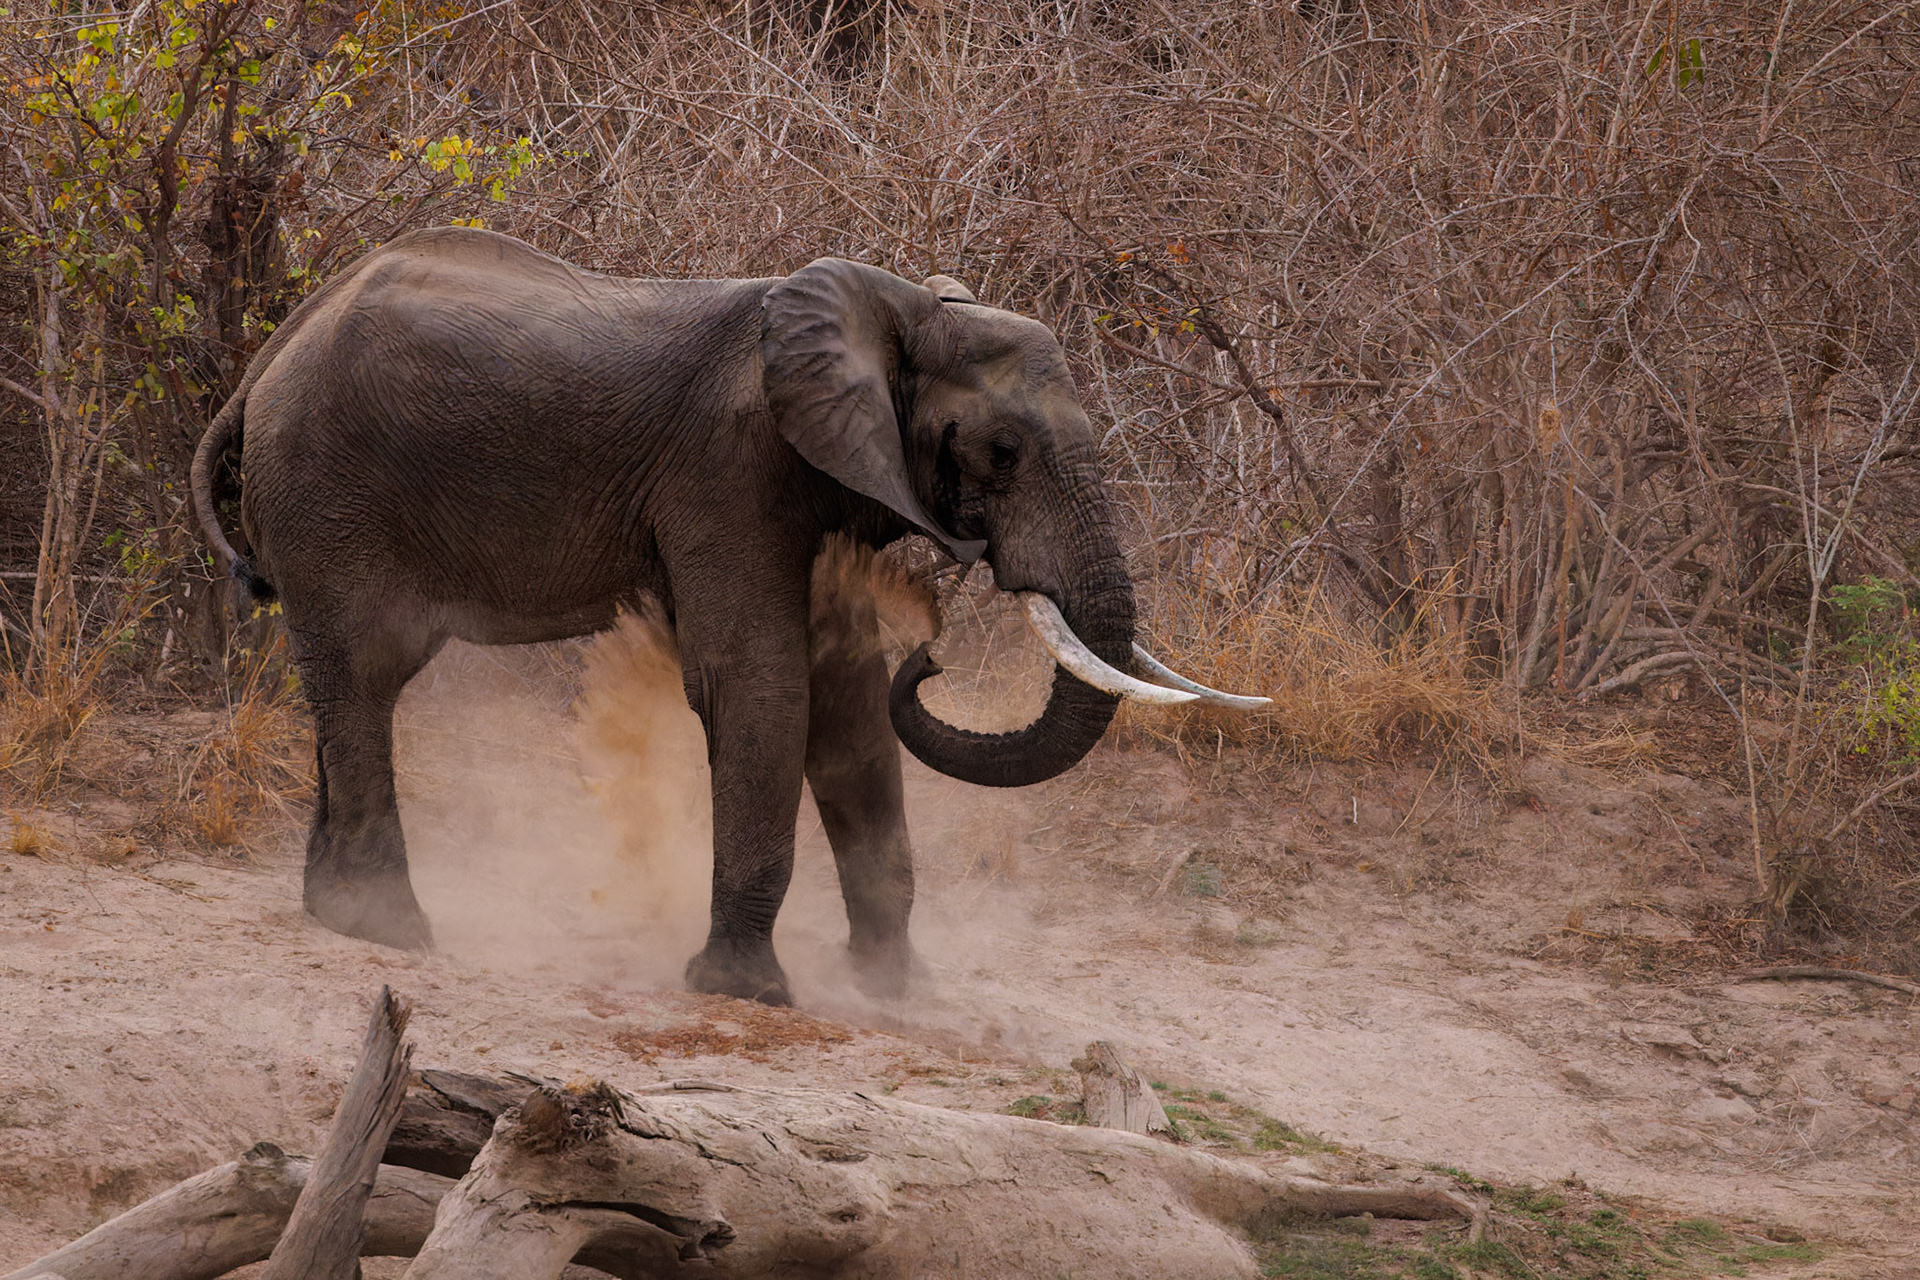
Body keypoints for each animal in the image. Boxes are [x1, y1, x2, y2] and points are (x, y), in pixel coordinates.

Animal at [191, 226, 1255, 1004]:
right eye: (1000, 453)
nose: (936, 659)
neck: (899, 307)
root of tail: (267, 358)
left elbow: (849, 700)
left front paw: (896, 992)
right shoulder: (728, 468)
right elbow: (763, 684)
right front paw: (747, 993)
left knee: (351, 687)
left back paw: (333, 912)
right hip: (328, 492)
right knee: (363, 678)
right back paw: (393, 930)